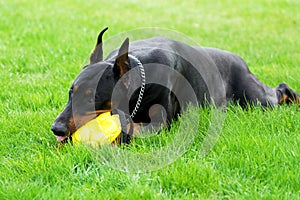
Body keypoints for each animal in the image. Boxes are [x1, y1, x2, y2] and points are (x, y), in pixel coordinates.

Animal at [51, 27, 298, 142]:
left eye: (92, 96)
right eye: (70, 93)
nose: (57, 128)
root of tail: (242, 61)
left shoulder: (163, 121)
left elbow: (139, 127)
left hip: (256, 99)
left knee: (280, 89)